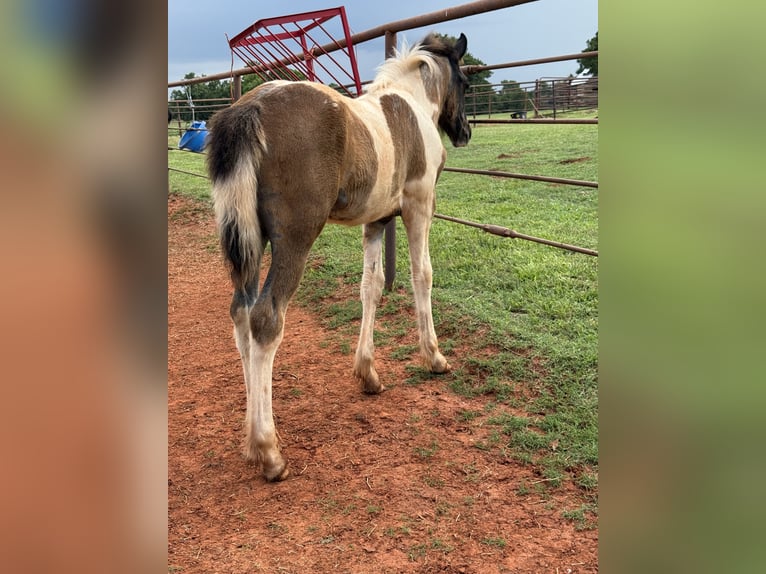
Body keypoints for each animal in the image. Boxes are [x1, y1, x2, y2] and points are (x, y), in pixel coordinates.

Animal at [206, 32, 471, 482]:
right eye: (466, 83)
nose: (465, 132)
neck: (411, 103)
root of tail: (250, 107)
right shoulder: (419, 205)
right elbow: (422, 275)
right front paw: (435, 357)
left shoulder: (377, 220)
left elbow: (372, 287)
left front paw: (368, 373)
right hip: (294, 238)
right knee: (265, 318)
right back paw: (269, 451)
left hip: (249, 240)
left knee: (240, 313)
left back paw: (250, 439)